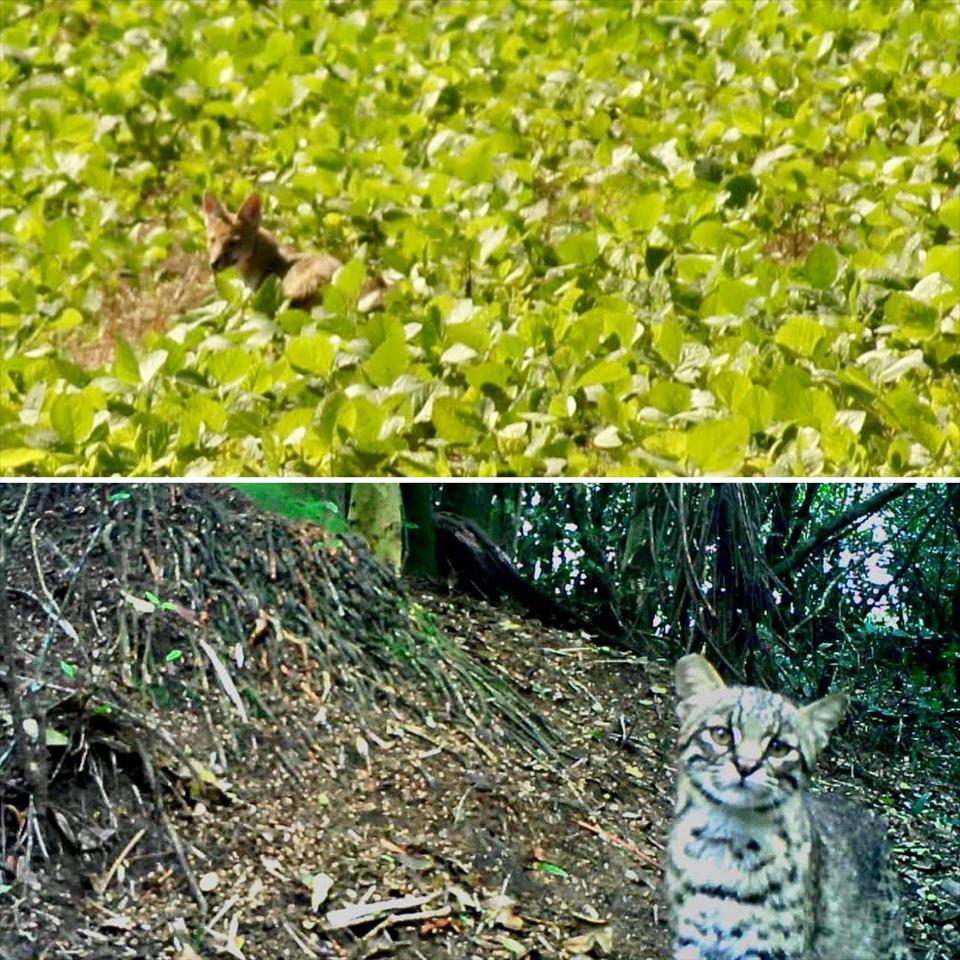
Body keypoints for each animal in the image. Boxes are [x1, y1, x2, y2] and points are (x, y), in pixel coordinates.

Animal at [668, 652, 908, 960]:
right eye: (721, 734)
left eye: (778, 748)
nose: (745, 766)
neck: (727, 834)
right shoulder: (692, 942)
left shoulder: (770, 950)